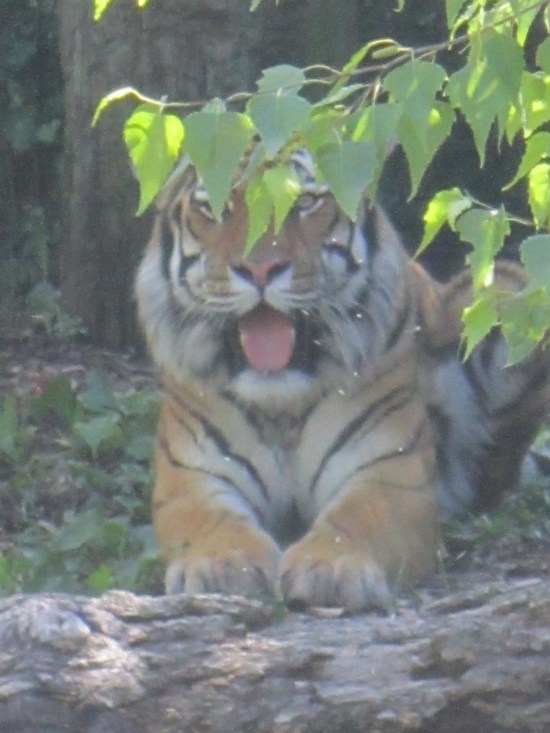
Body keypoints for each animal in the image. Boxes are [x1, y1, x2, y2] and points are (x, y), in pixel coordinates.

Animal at [135, 148, 550, 611]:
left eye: (304, 202)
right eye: (217, 209)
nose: (260, 269)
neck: (281, 403)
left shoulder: (388, 471)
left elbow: (355, 517)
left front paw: (328, 569)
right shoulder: (191, 478)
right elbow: (213, 521)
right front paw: (224, 564)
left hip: (510, 296)